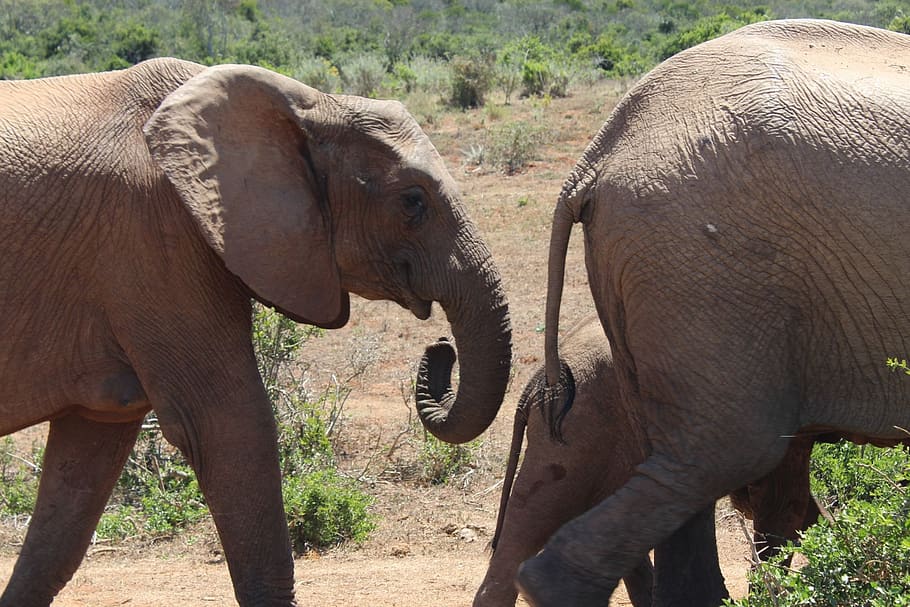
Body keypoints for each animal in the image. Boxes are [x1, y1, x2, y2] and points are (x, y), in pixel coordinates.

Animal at [0, 58, 512, 607]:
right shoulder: (156, 240)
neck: (309, 103)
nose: (441, 348)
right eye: (413, 201)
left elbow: (81, 475)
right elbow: (230, 427)